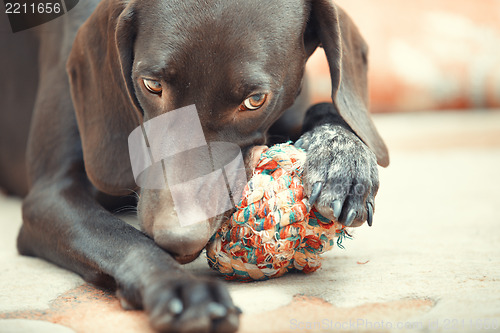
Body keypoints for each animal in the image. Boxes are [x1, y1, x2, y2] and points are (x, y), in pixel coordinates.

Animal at [0, 1, 388, 330]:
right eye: (151, 85)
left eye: (255, 101)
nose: (178, 240)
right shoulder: (50, 195)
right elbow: (123, 237)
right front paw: (179, 286)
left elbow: (329, 108)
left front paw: (345, 160)